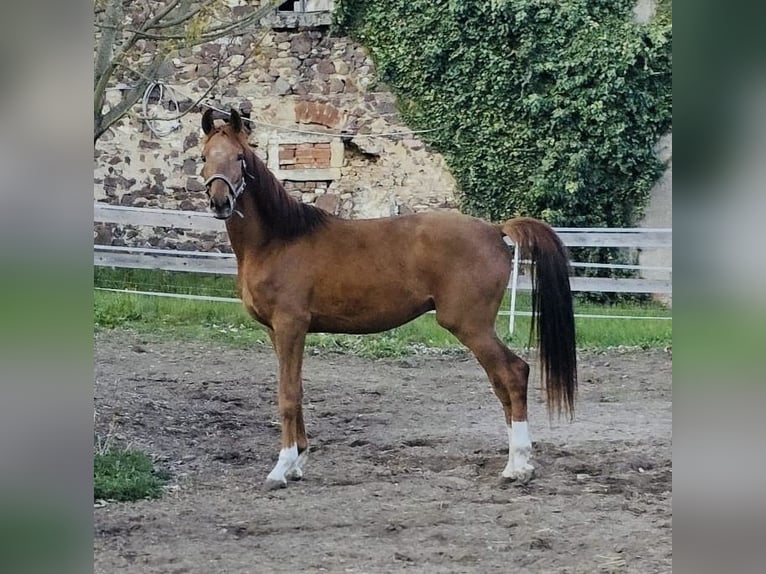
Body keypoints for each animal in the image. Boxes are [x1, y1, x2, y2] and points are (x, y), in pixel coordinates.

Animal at [199, 108, 577, 490]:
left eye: (239, 158)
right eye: (203, 157)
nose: (220, 202)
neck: (279, 239)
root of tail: (494, 230)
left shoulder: (291, 325)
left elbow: (288, 395)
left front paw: (281, 468)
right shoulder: (277, 331)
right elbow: (298, 390)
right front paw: (297, 462)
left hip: (471, 326)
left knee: (513, 374)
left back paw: (518, 466)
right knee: (504, 382)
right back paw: (519, 462)